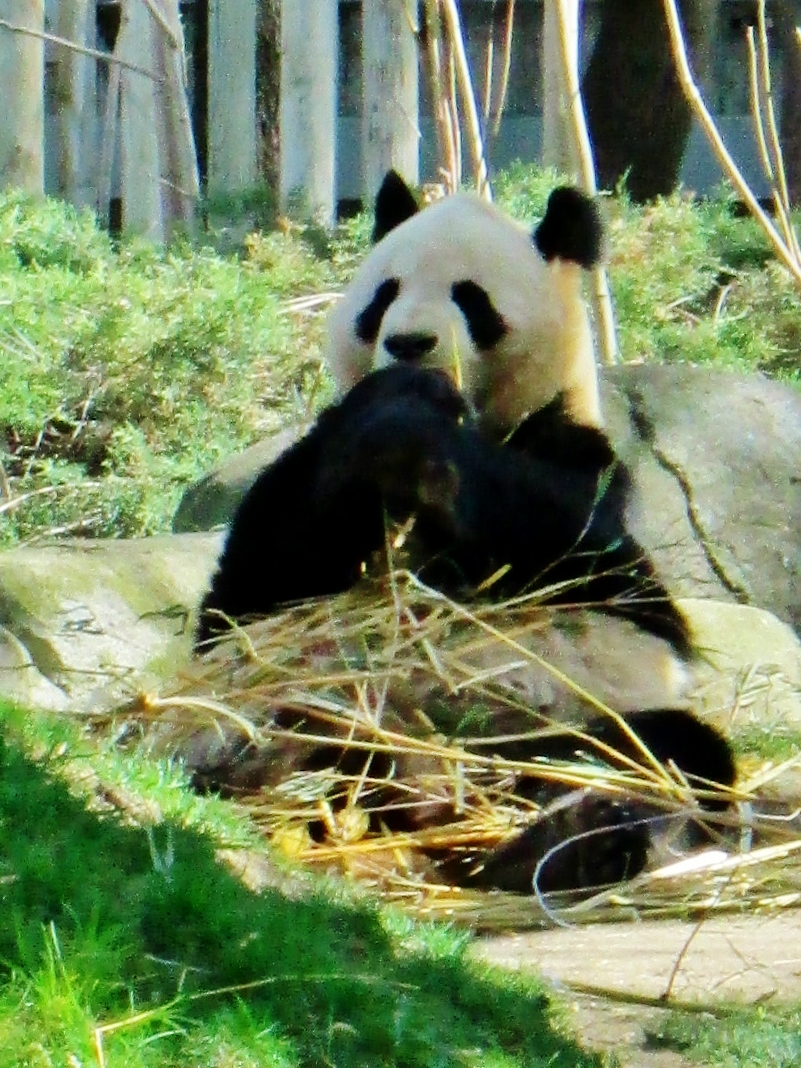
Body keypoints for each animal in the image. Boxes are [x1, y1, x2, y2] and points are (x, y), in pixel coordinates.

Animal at [193, 170, 734, 897]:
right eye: (384, 294)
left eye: (471, 299)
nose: (409, 343)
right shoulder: (299, 483)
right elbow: (250, 590)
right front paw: (392, 410)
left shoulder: (581, 464)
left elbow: (585, 557)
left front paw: (424, 438)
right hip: (300, 709)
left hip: (563, 722)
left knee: (665, 748)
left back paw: (567, 844)